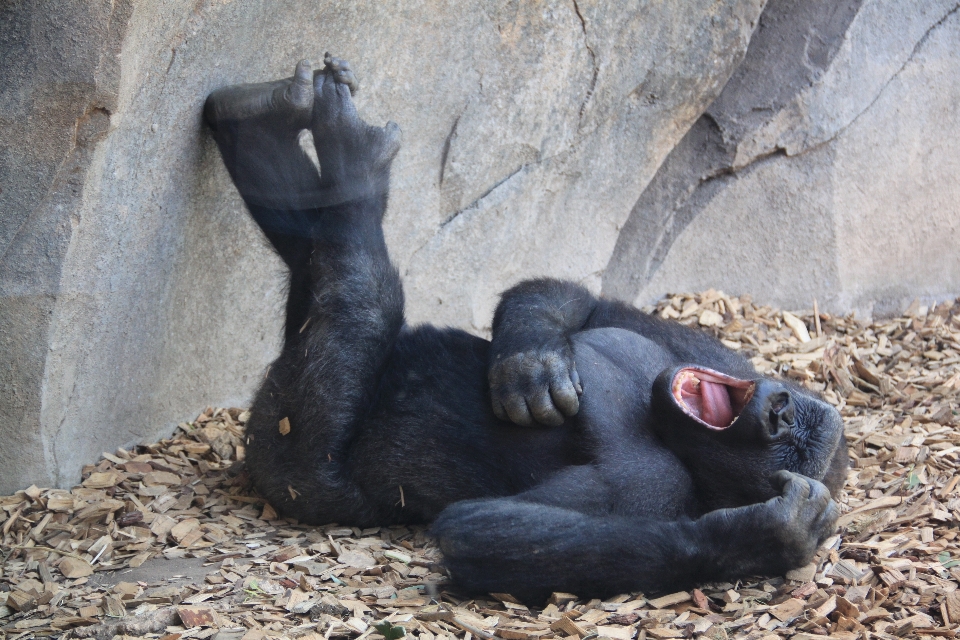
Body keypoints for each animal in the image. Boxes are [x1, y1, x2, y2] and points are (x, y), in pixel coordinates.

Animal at [204, 57, 848, 604]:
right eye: (794, 421)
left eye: (788, 444)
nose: (779, 408)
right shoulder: (694, 349)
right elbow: (592, 308)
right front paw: (530, 357)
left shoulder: (650, 489)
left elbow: (482, 530)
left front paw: (765, 537)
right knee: (307, 251)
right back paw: (264, 116)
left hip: (288, 454)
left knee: (356, 306)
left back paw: (352, 170)